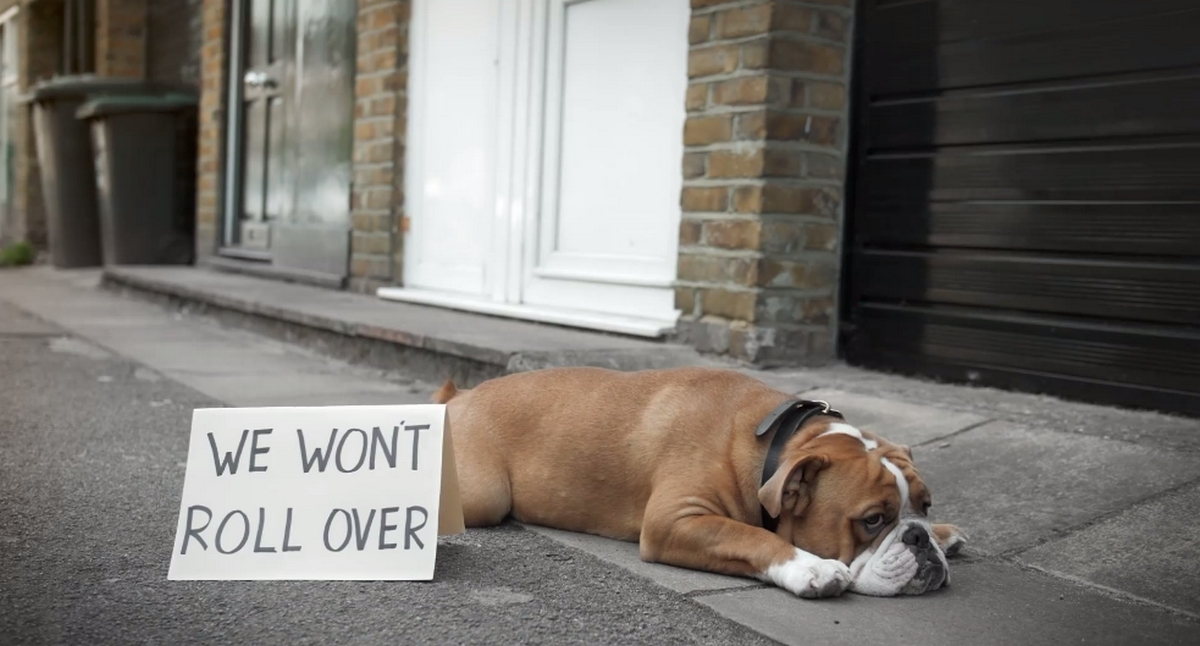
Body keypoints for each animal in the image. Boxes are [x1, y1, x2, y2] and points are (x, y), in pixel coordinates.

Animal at [434, 365, 964, 595]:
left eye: (925, 505)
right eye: (872, 520)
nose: (918, 537)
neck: (775, 444)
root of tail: (459, 396)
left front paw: (943, 534)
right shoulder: (677, 520)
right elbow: (752, 536)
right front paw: (810, 568)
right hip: (483, 497)